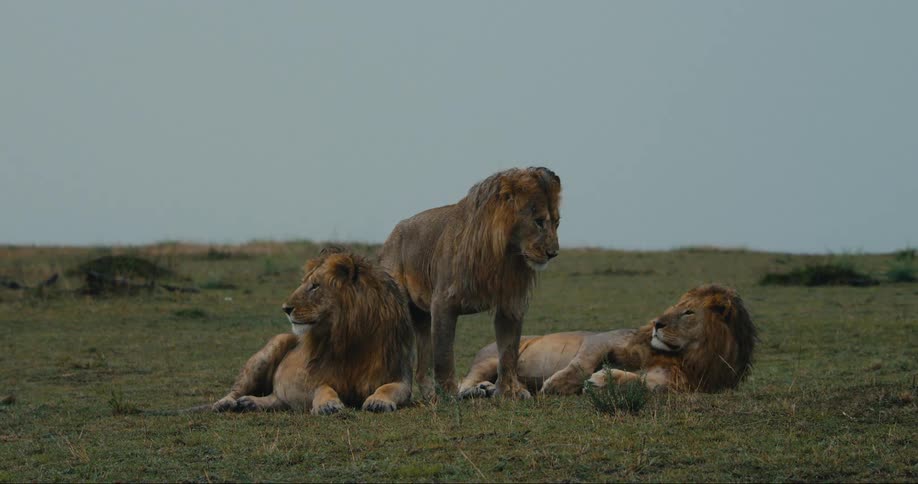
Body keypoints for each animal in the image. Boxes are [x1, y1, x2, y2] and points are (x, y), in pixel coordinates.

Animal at [212, 248, 415, 414]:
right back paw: (225, 403)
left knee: (276, 399)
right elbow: (322, 386)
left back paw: (250, 403)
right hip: (273, 347)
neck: (349, 337)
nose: (285, 308)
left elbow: (389, 388)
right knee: (237, 389)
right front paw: (328, 405)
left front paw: (378, 401)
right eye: (304, 283)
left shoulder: (399, 376)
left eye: (315, 286)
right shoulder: (307, 379)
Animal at [379, 167, 561, 399]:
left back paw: (430, 396)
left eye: (557, 223)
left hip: (422, 317)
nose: (553, 253)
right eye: (539, 221)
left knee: (421, 368)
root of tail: (392, 235)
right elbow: (444, 355)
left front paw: (509, 392)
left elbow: (509, 352)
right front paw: (450, 395)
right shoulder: (443, 303)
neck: (505, 255)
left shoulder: (510, 303)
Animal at [458, 284, 757, 396]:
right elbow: (582, 363)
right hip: (494, 357)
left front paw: (603, 380)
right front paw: (557, 383)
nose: (657, 324)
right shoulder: (605, 339)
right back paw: (480, 390)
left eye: (688, 312)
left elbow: (640, 382)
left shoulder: (671, 383)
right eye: (676, 306)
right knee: (463, 383)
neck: (687, 357)